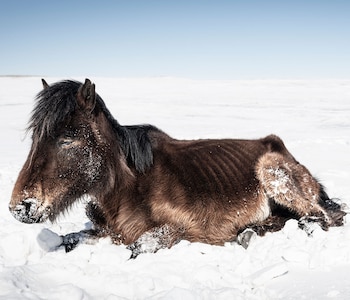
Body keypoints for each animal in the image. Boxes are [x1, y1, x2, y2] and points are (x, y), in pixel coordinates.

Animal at [9, 79, 346, 258]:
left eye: (67, 139)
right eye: (35, 136)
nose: (20, 207)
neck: (129, 187)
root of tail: (280, 148)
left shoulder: (181, 228)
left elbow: (139, 246)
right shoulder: (103, 229)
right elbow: (68, 240)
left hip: (274, 173)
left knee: (324, 216)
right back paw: (251, 230)